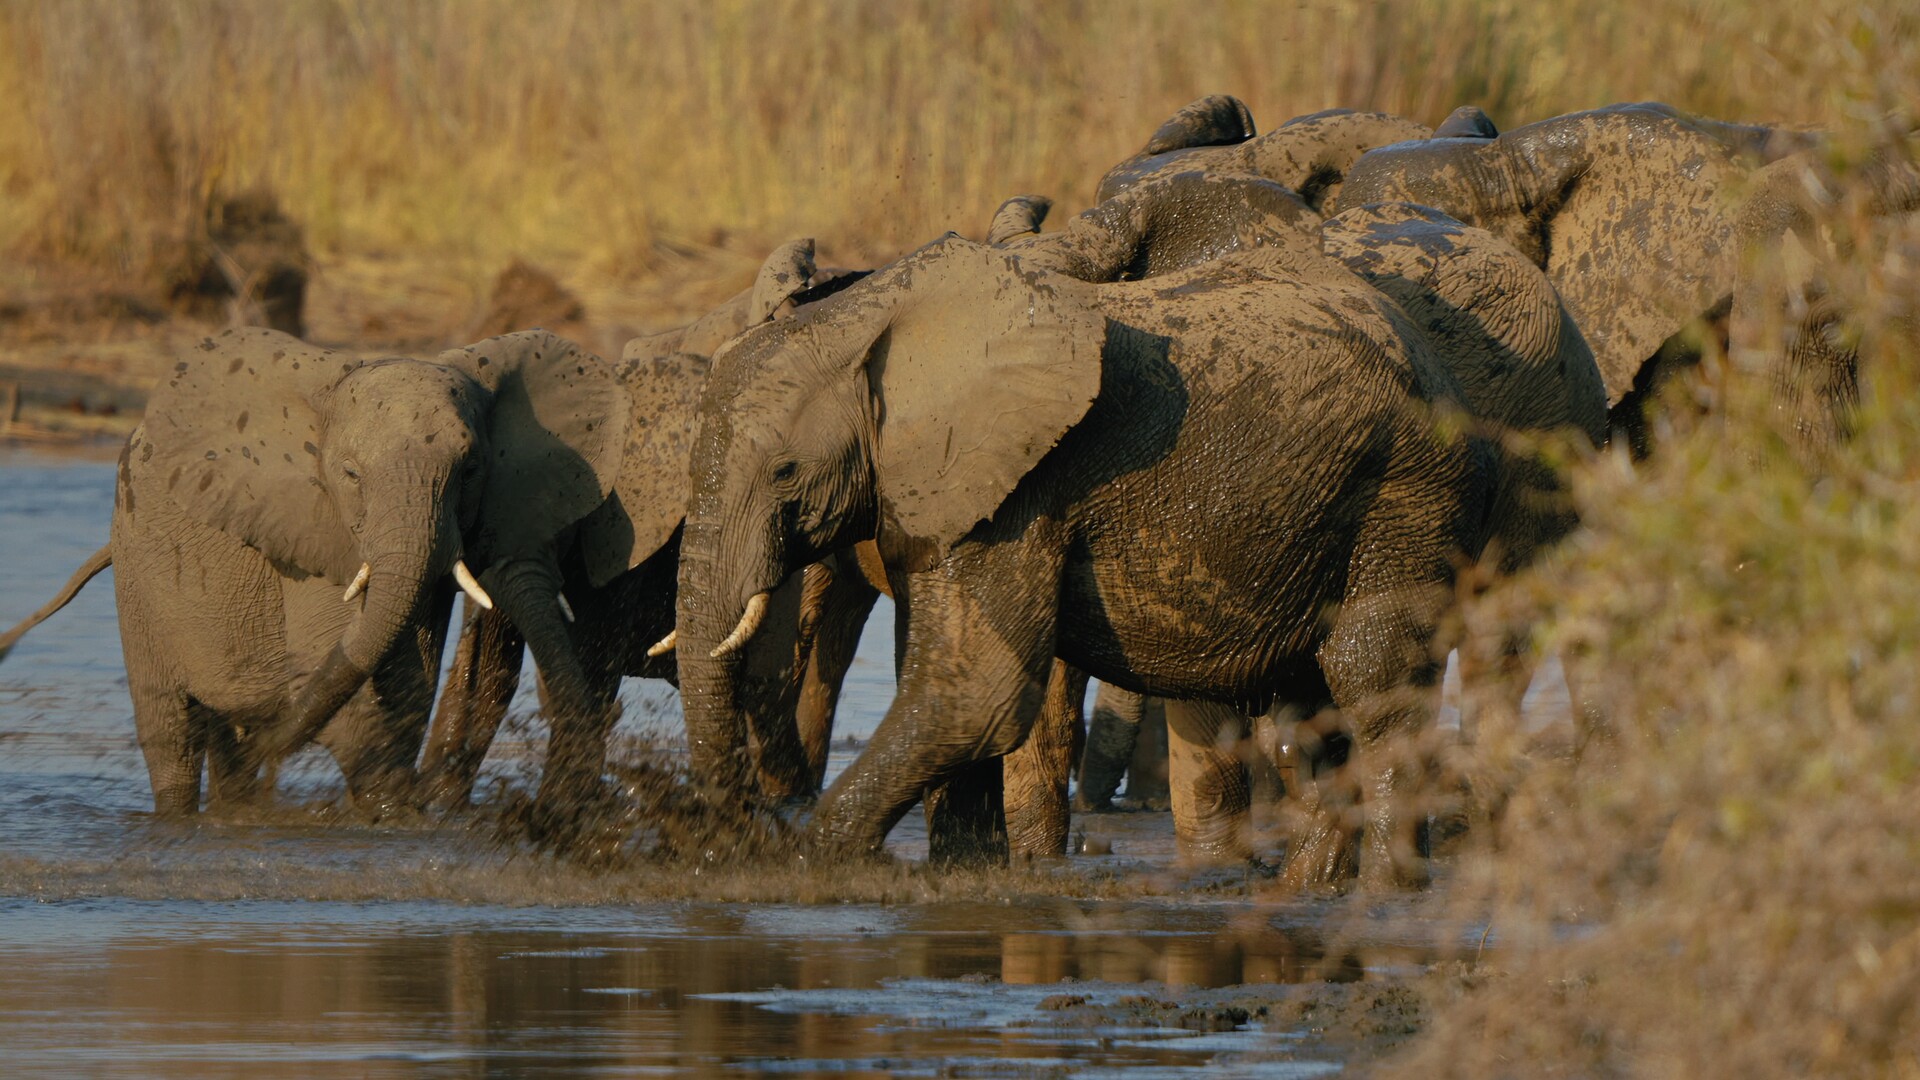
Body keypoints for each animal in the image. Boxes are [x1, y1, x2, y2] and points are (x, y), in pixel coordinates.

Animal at [0, 327, 628, 815]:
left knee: (229, 745)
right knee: (170, 733)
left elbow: (408, 686)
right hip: (137, 564)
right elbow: (344, 682)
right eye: (349, 474)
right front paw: (391, 815)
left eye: (471, 469)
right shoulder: (312, 534)